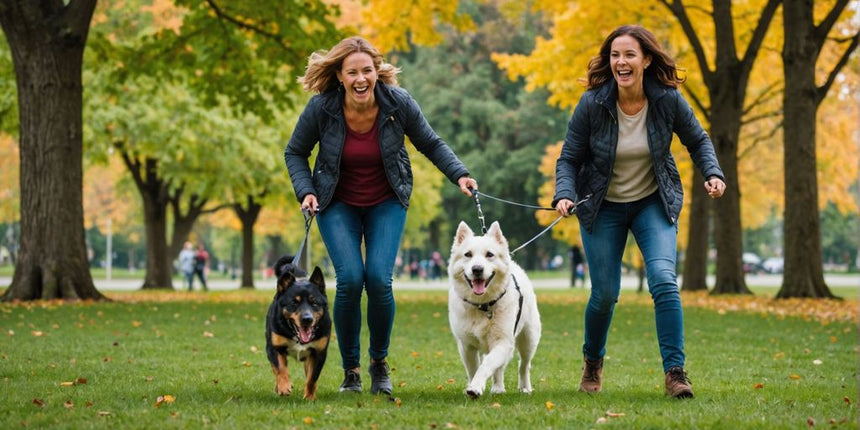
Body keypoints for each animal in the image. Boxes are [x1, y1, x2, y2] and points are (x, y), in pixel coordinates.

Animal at [264, 255, 330, 400]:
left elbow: (312, 378)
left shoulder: (319, 352)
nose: (307, 319)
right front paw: (284, 387)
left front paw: (310, 397)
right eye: (294, 303)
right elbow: (280, 369)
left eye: (314, 302)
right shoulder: (274, 348)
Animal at [446, 222, 540, 400]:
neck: (482, 305)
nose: (477, 269)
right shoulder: (466, 345)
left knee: (524, 365)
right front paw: (472, 387)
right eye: (468, 254)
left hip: (528, 339)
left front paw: (476, 387)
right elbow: (473, 369)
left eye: (489, 254)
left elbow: (487, 365)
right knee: (500, 369)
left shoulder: (503, 342)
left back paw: (524, 388)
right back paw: (498, 388)